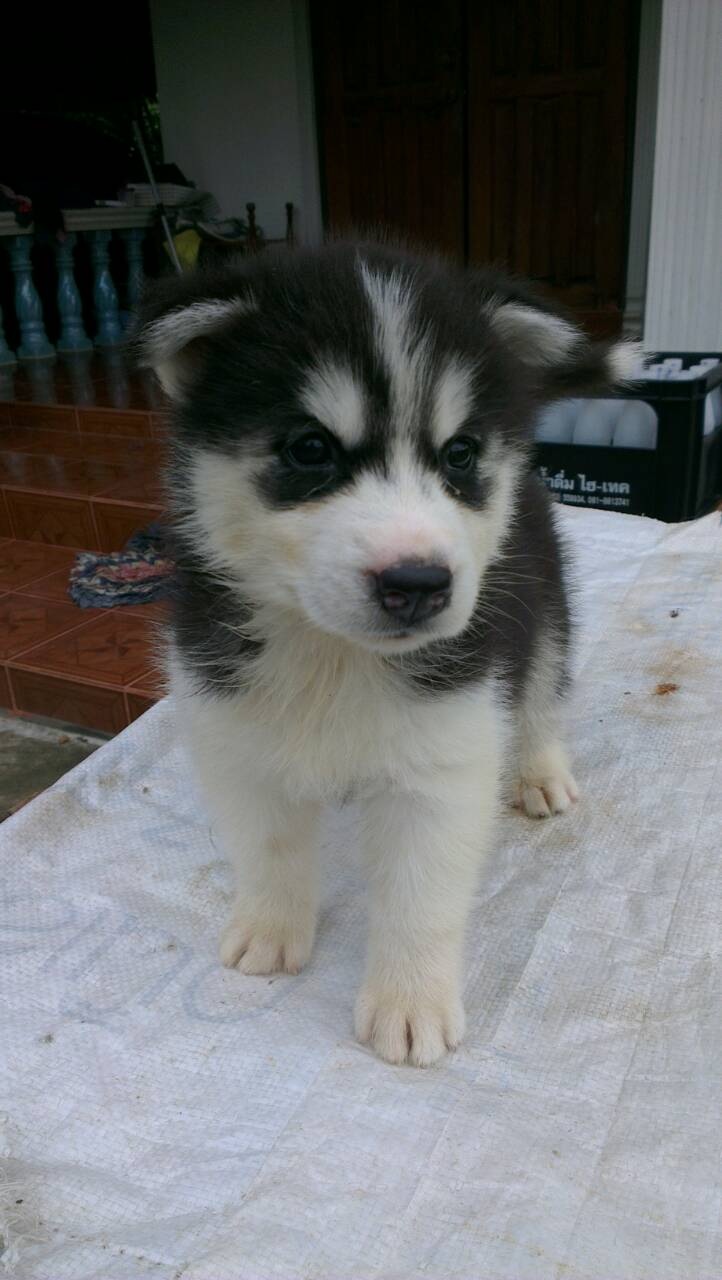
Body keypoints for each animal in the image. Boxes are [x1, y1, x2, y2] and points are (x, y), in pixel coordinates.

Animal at [137, 240, 639, 1066]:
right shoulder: (232, 730)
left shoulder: (445, 755)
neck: (333, 654)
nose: (418, 584)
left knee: (541, 692)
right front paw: (272, 928)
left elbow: (419, 896)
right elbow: (267, 845)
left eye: (460, 454)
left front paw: (410, 1003)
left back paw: (539, 770)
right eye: (310, 448)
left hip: (543, 601)